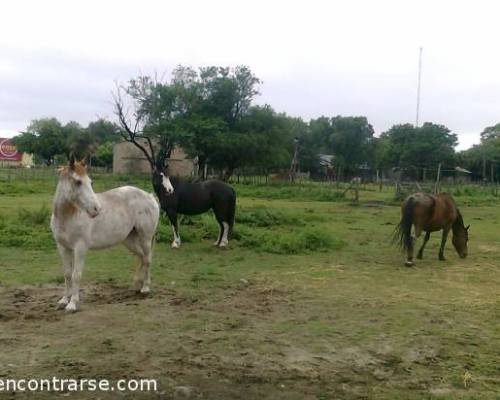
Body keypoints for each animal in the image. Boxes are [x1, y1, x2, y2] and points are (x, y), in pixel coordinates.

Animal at [49, 159, 159, 312]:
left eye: (90, 181)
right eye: (78, 182)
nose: (96, 209)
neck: (68, 216)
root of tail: (149, 196)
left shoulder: (80, 248)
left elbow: (76, 274)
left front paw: (72, 304)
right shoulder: (62, 247)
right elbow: (67, 273)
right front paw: (64, 300)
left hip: (145, 238)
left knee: (147, 259)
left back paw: (145, 288)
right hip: (129, 240)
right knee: (141, 256)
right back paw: (137, 285)